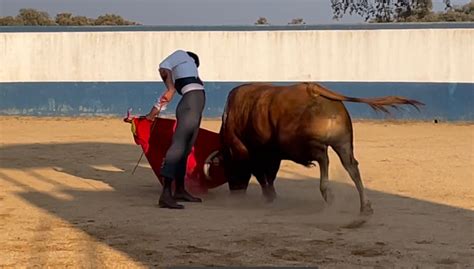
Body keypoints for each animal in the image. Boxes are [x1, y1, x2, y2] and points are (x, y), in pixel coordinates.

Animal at [204, 81, 422, 214]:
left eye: (228, 168)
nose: (236, 192)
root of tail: (313, 89)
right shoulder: (272, 155)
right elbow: (269, 175)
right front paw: (270, 195)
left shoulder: (255, 153)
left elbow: (263, 175)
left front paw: (269, 196)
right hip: (343, 143)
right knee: (351, 166)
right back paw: (365, 206)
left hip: (294, 143)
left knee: (323, 157)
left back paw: (328, 193)